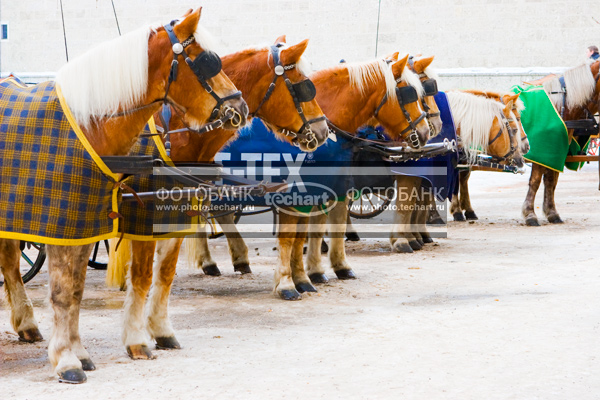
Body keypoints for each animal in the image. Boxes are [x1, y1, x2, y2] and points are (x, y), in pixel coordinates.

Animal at [0, 9, 247, 382]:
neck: (90, 125)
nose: (239, 108)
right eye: (205, 61)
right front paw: (67, 361)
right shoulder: (67, 227)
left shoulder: (89, 225)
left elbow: (78, 289)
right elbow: (62, 293)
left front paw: (80, 353)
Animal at [520, 61, 600, 227]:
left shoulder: (556, 152)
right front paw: (530, 214)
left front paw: (551, 212)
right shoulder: (541, 153)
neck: (560, 105)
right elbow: (535, 181)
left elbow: (551, 180)